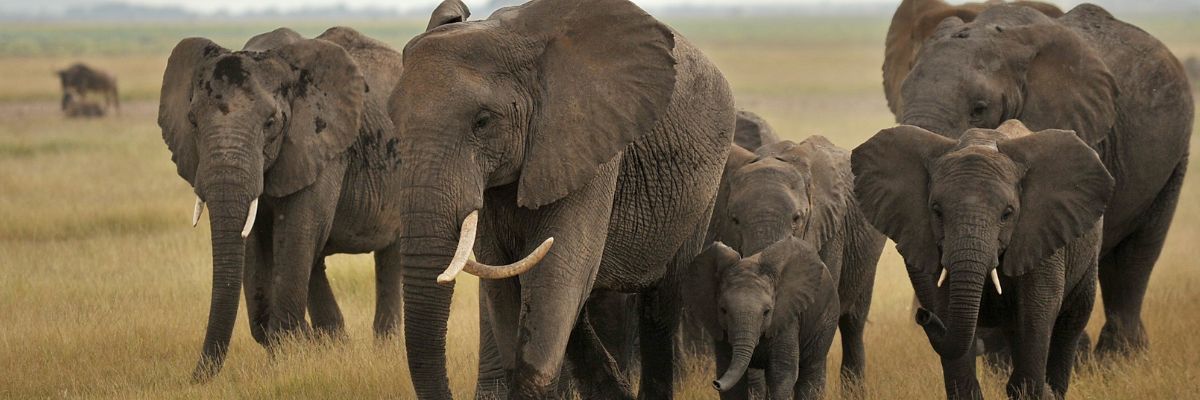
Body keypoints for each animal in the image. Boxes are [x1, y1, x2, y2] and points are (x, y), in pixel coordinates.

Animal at [158, 26, 418, 381]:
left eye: (271, 123)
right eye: (193, 121)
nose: (194, 379)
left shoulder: (323, 145)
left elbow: (297, 230)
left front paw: (290, 355)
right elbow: (255, 240)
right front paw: (295, 349)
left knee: (385, 253)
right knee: (317, 258)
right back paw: (334, 343)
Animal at [387, 0, 735, 397]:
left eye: (483, 122)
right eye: (394, 122)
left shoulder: (589, 140)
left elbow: (556, 274)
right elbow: (505, 280)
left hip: (702, 194)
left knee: (660, 305)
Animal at [688, 238, 839, 400]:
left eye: (767, 312)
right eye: (723, 310)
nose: (716, 383)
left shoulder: (786, 317)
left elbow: (782, 373)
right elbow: (728, 374)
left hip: (826, 315)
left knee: (811, 369)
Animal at [853, 120, 1114, 399]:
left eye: (1007, 214)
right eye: (936, 211)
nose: (922, 315)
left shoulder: (1040, 233)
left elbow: (1037, 311)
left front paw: (1029, 388)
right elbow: (947, 312)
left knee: (1070, 323)